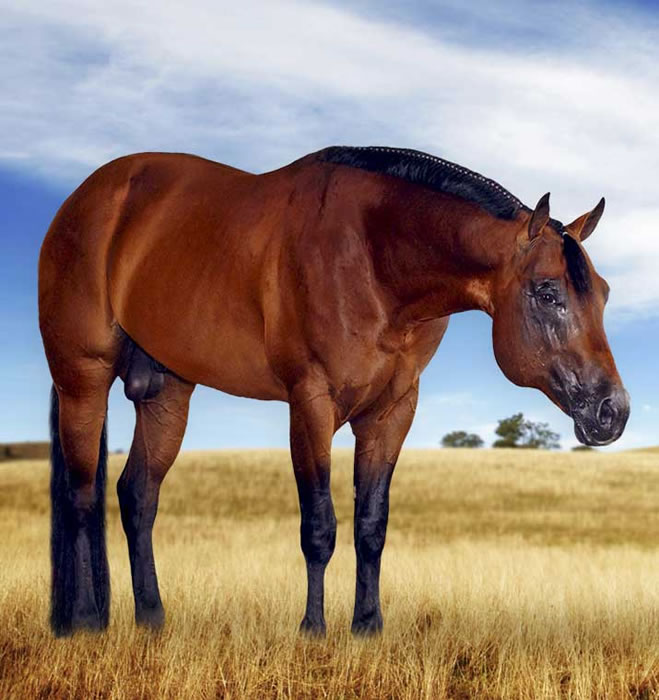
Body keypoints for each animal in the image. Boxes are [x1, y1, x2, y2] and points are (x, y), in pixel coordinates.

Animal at [38, 145, 630, 637]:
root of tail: (83, 200)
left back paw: (152, 619)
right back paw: (86, 621)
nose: (612, 412)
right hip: (83, 379)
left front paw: (367, 626)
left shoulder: (393, 411)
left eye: (602, 293)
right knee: (83, 496)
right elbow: (319, 524)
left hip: (166, 393)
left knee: (137, 495)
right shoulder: (311, 403)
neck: (372, 257)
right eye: (547, 292)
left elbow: (372, 524)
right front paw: (313, 630)